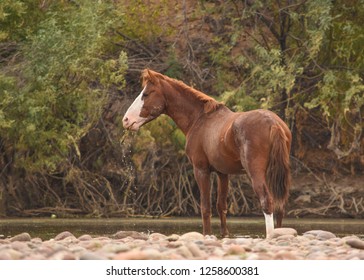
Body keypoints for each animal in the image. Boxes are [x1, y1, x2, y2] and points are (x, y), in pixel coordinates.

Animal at [123, 69, 292, 237]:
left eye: (146, 94)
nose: (126, 120)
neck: (199, 119)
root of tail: (274, 123)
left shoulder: (201, 170)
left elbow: (205, 207)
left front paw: (206, 234)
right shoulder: (222, 173)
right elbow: (221, 206)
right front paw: (224, 235)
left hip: (255, 172)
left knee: (267, 201)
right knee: (280, 205)